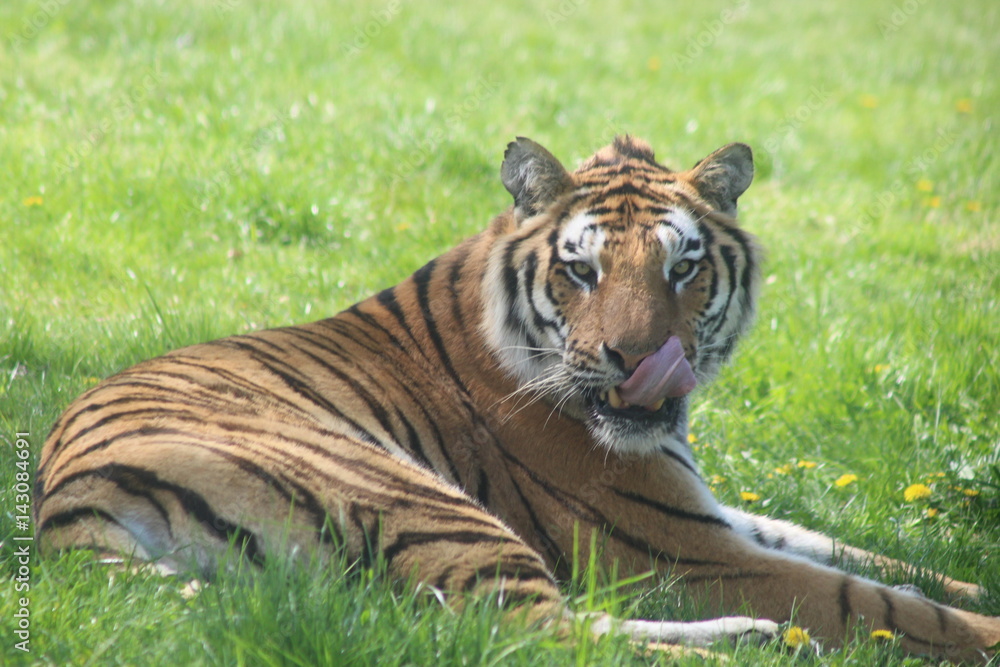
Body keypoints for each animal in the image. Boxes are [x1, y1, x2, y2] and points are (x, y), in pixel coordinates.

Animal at [34, 136, 1000, 661]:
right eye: (583, 269)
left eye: (682, 267)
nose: (637, 360)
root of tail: (65, 511)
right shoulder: (678, 548)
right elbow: (876, 600)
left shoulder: (708, 514)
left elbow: (864, 554)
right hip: (420, 496)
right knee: (524, 633)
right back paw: (749, 642)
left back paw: (751, 639)